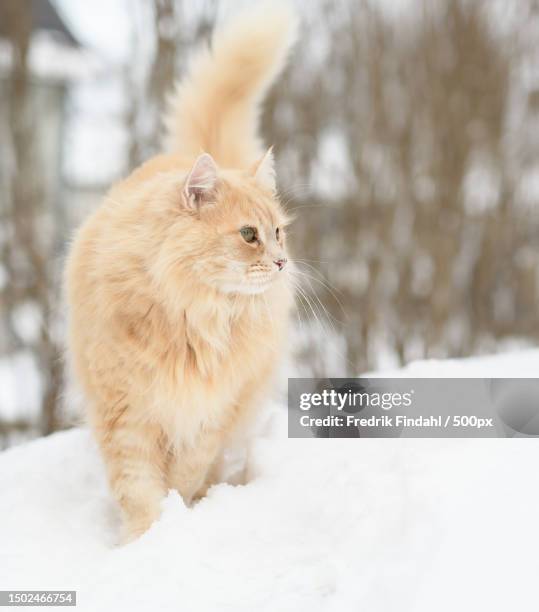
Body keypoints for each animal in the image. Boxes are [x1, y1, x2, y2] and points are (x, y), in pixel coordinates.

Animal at [66, 3, 300, 540]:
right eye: (249, 235)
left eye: (278, 233)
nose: (280, 262)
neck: (197, 314)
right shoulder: (126, 412)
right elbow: (137, 488)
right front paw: (144, 539)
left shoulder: (211, 412)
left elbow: (186, 472)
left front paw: (177, 517)